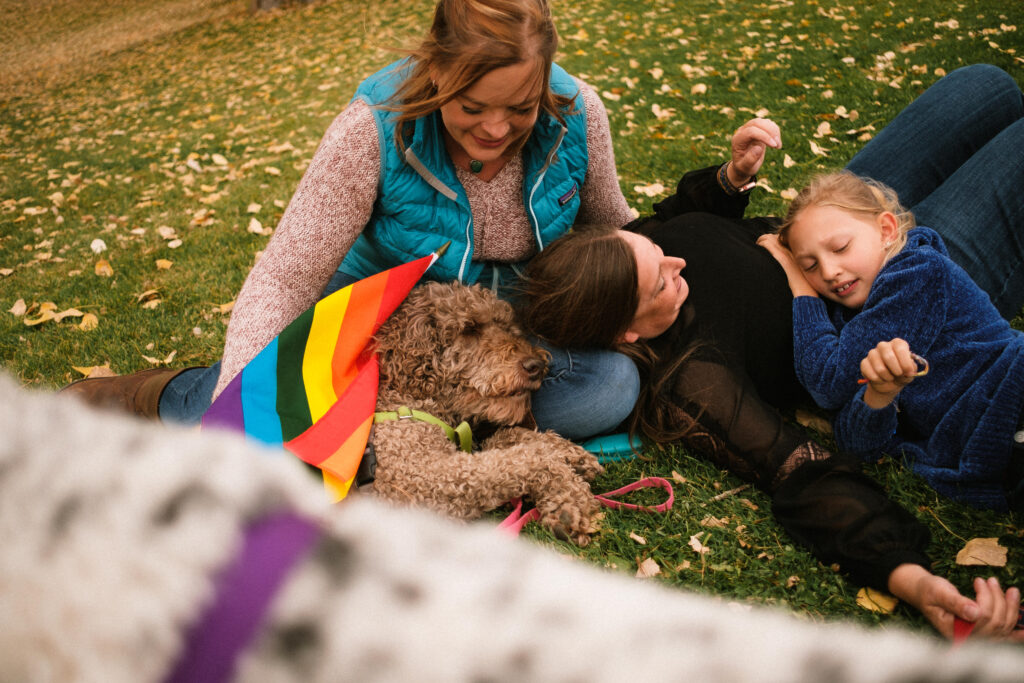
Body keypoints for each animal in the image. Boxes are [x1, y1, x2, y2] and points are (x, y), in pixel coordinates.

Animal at [370, 278, 602, 544]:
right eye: (469, 328)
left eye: (505, 326)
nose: (537, 365)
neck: (407, 399)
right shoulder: (421, 481)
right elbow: (525, 459)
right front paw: (570, 500)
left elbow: (509, 438)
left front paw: (573, 455)